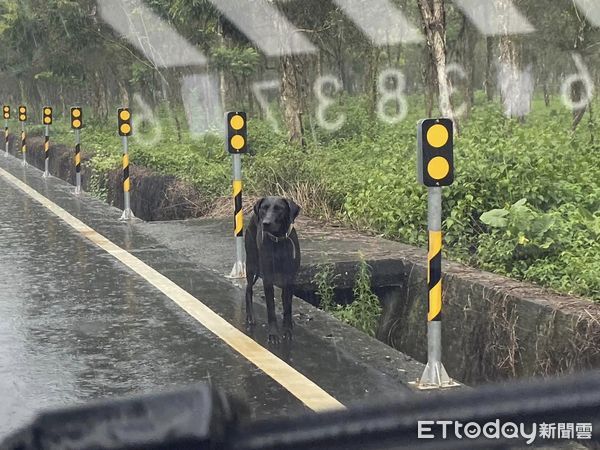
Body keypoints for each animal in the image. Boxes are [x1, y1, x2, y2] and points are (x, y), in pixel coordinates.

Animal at [244, 195, 300, 342]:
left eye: (279, 209)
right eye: (264, 208)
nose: (265, 223)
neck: (278, 240)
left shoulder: (289, 279)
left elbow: (287, 307)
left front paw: (287, 329)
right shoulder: (268, 279)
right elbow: (271, 308)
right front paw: (274, 333)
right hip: (251, 264)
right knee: (248, 289)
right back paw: (250, 316)